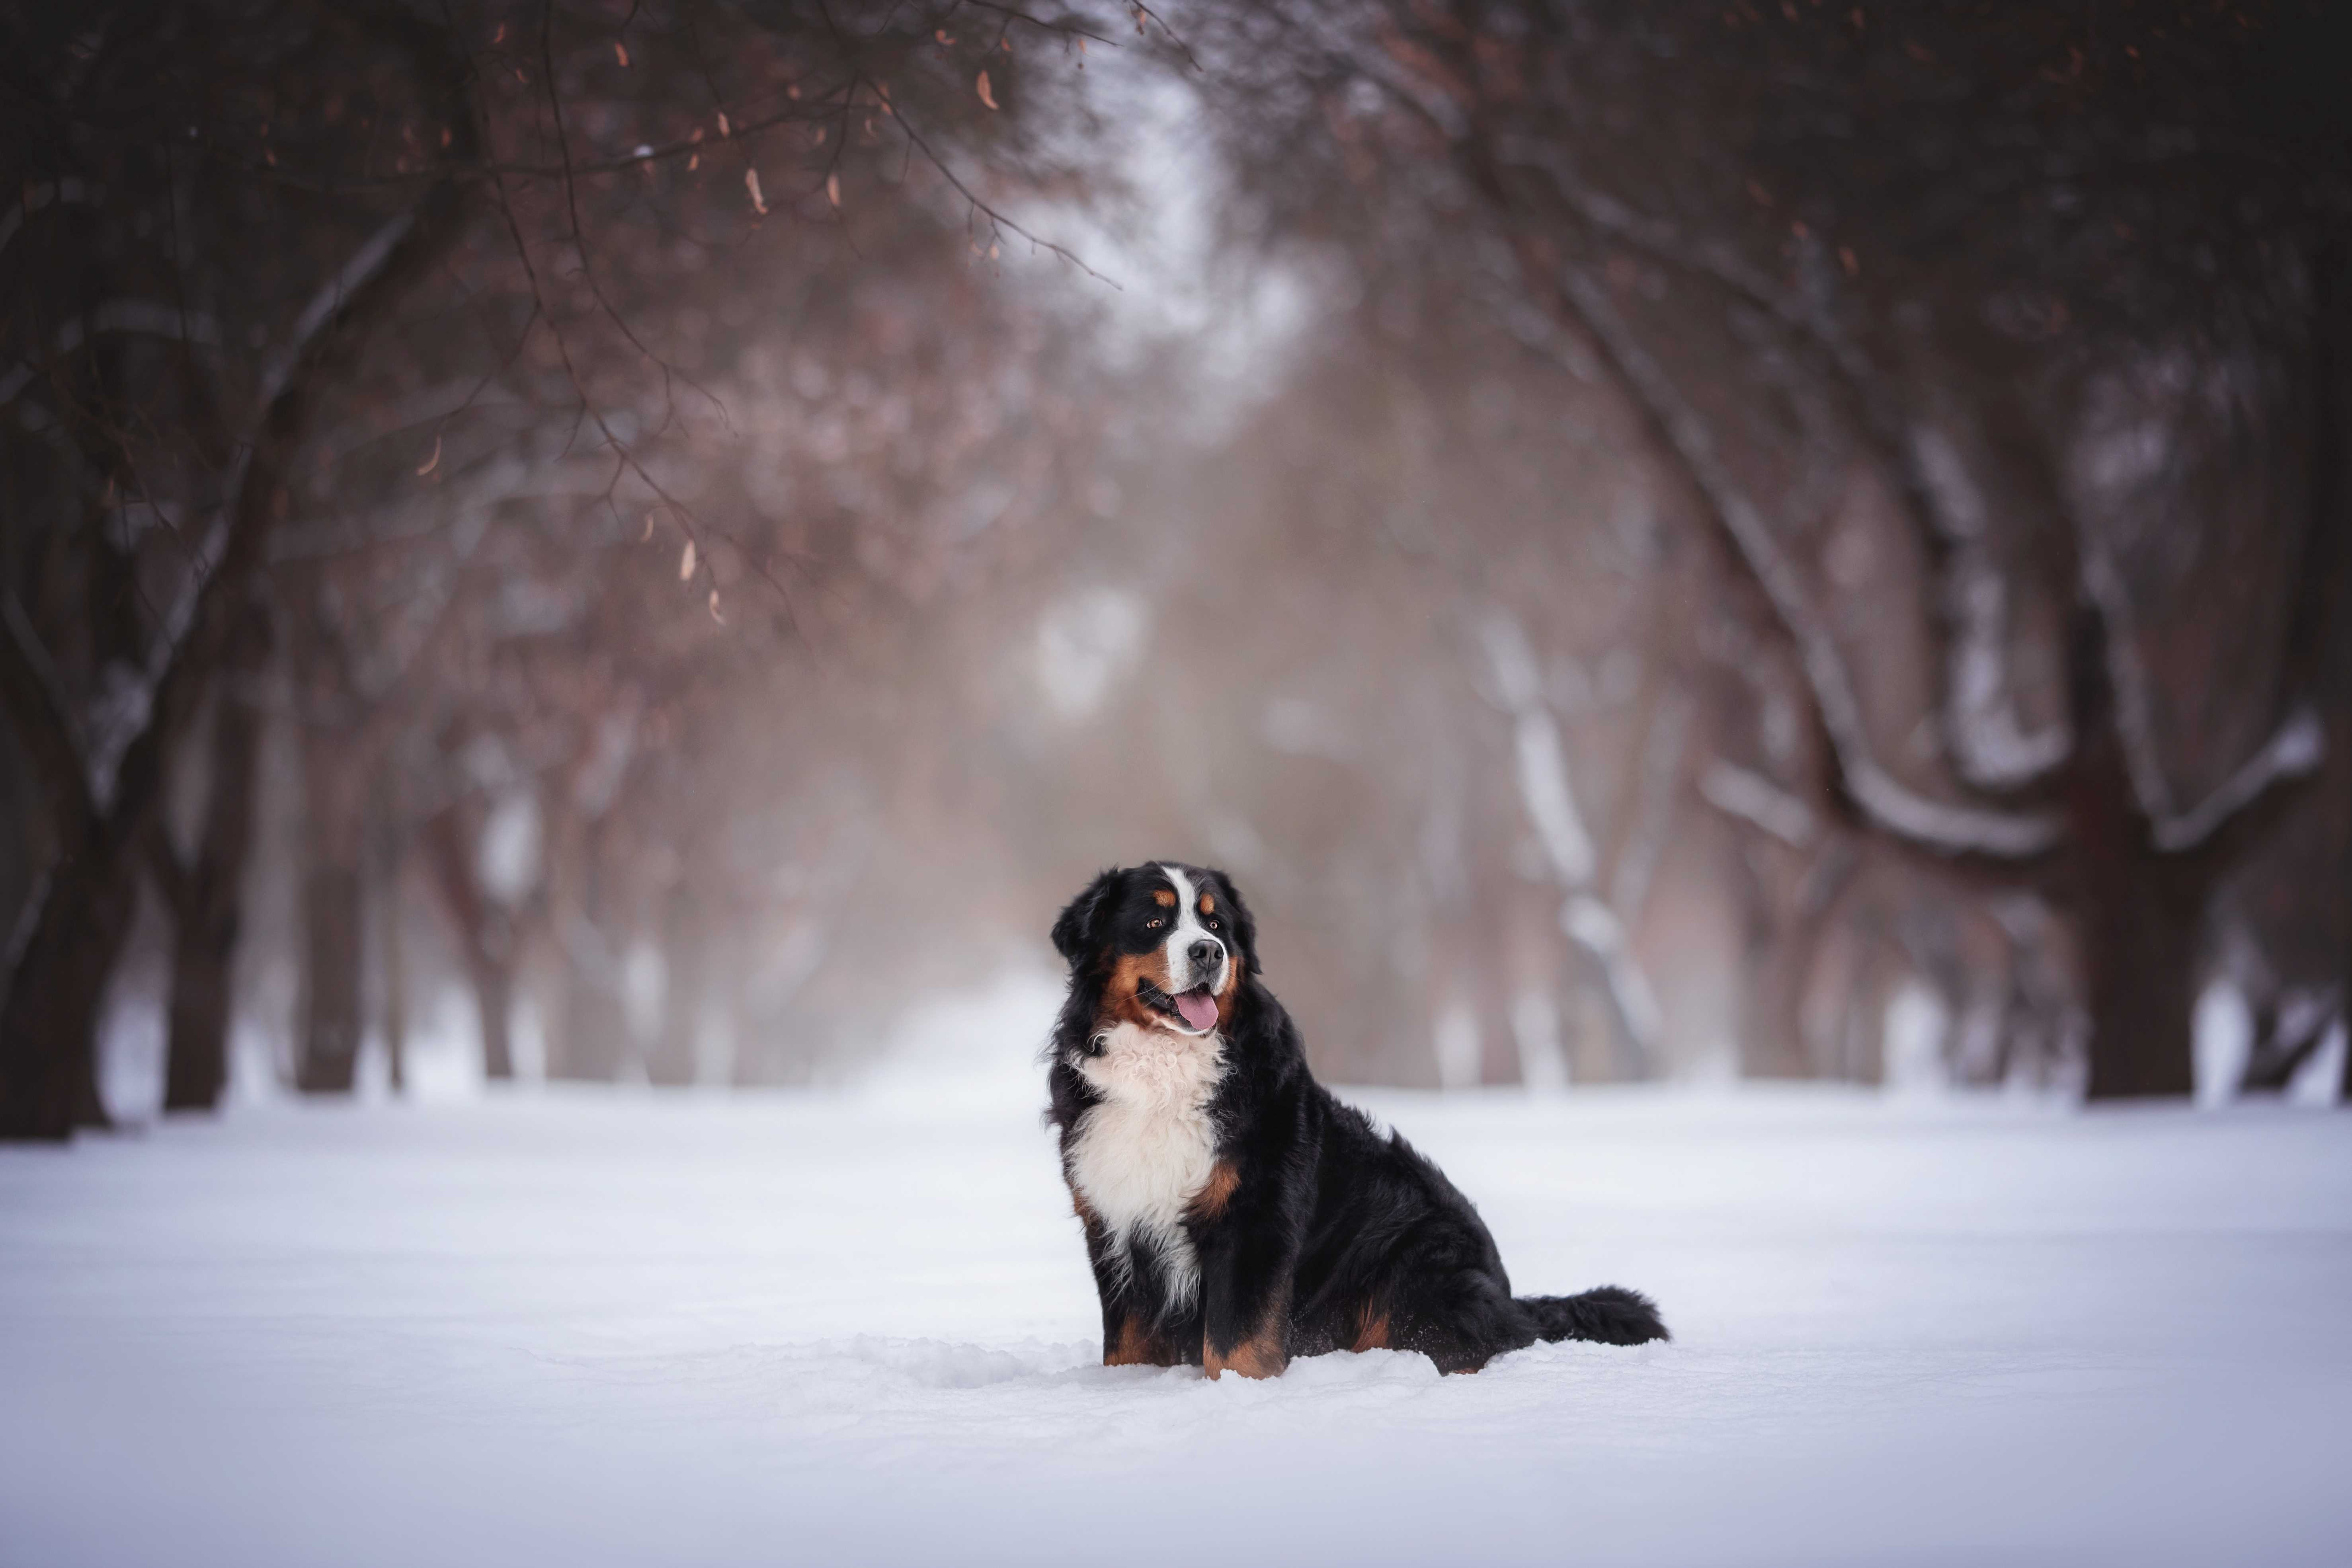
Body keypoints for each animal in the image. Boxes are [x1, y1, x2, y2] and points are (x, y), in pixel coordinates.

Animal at [1049, 865, 1675, 1382]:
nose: (1208, 952)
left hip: (1416, 1262)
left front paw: (1236, 1396)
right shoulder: (1115, 1222)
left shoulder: (1254, 1220)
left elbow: (1235, 1343)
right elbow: (1127, 1343)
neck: (1164, 1071)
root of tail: (1507, 1291)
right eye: (1154, 921)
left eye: (1216, 923)